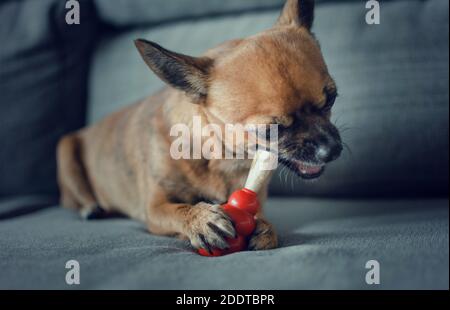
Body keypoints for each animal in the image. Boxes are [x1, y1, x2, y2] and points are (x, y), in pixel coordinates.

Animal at [58, 0, 342, 252]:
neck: (223, 159)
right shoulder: (154, 207)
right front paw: (201, 220)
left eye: (332, 99)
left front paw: (265, 227)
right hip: (65, 148)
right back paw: (90, 208)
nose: (334, 149)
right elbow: (179, 210)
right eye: (270, 130)